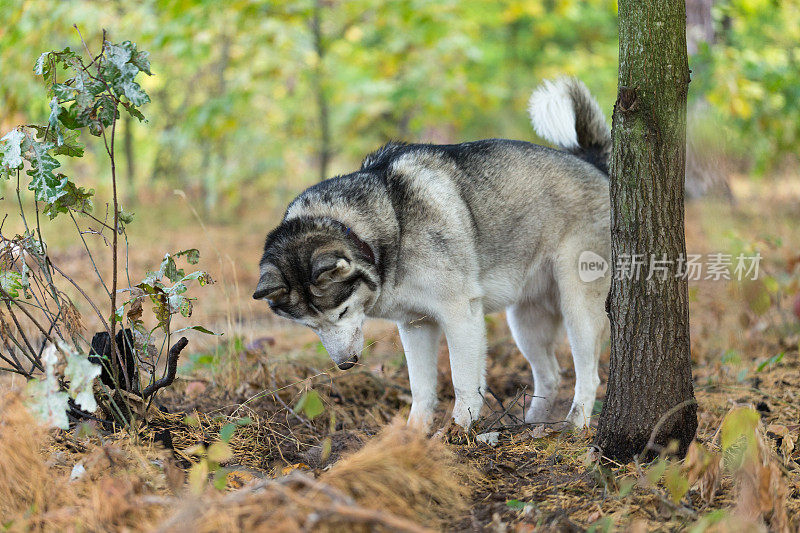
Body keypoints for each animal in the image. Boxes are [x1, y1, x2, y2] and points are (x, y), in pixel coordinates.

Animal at [253, 77, 608, 430]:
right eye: (311, 327)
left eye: (342, 313)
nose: (346, 364)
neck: (386, 222)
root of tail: (595, 165)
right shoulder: (415, 325)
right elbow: (421, 389)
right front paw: (413, 435)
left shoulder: (461, 315)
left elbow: (464, 384)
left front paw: (458, 433)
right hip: (525, 323)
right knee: (550, 375)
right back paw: (530, 427)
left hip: (578, 308)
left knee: (588, 376)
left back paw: (575, 425)